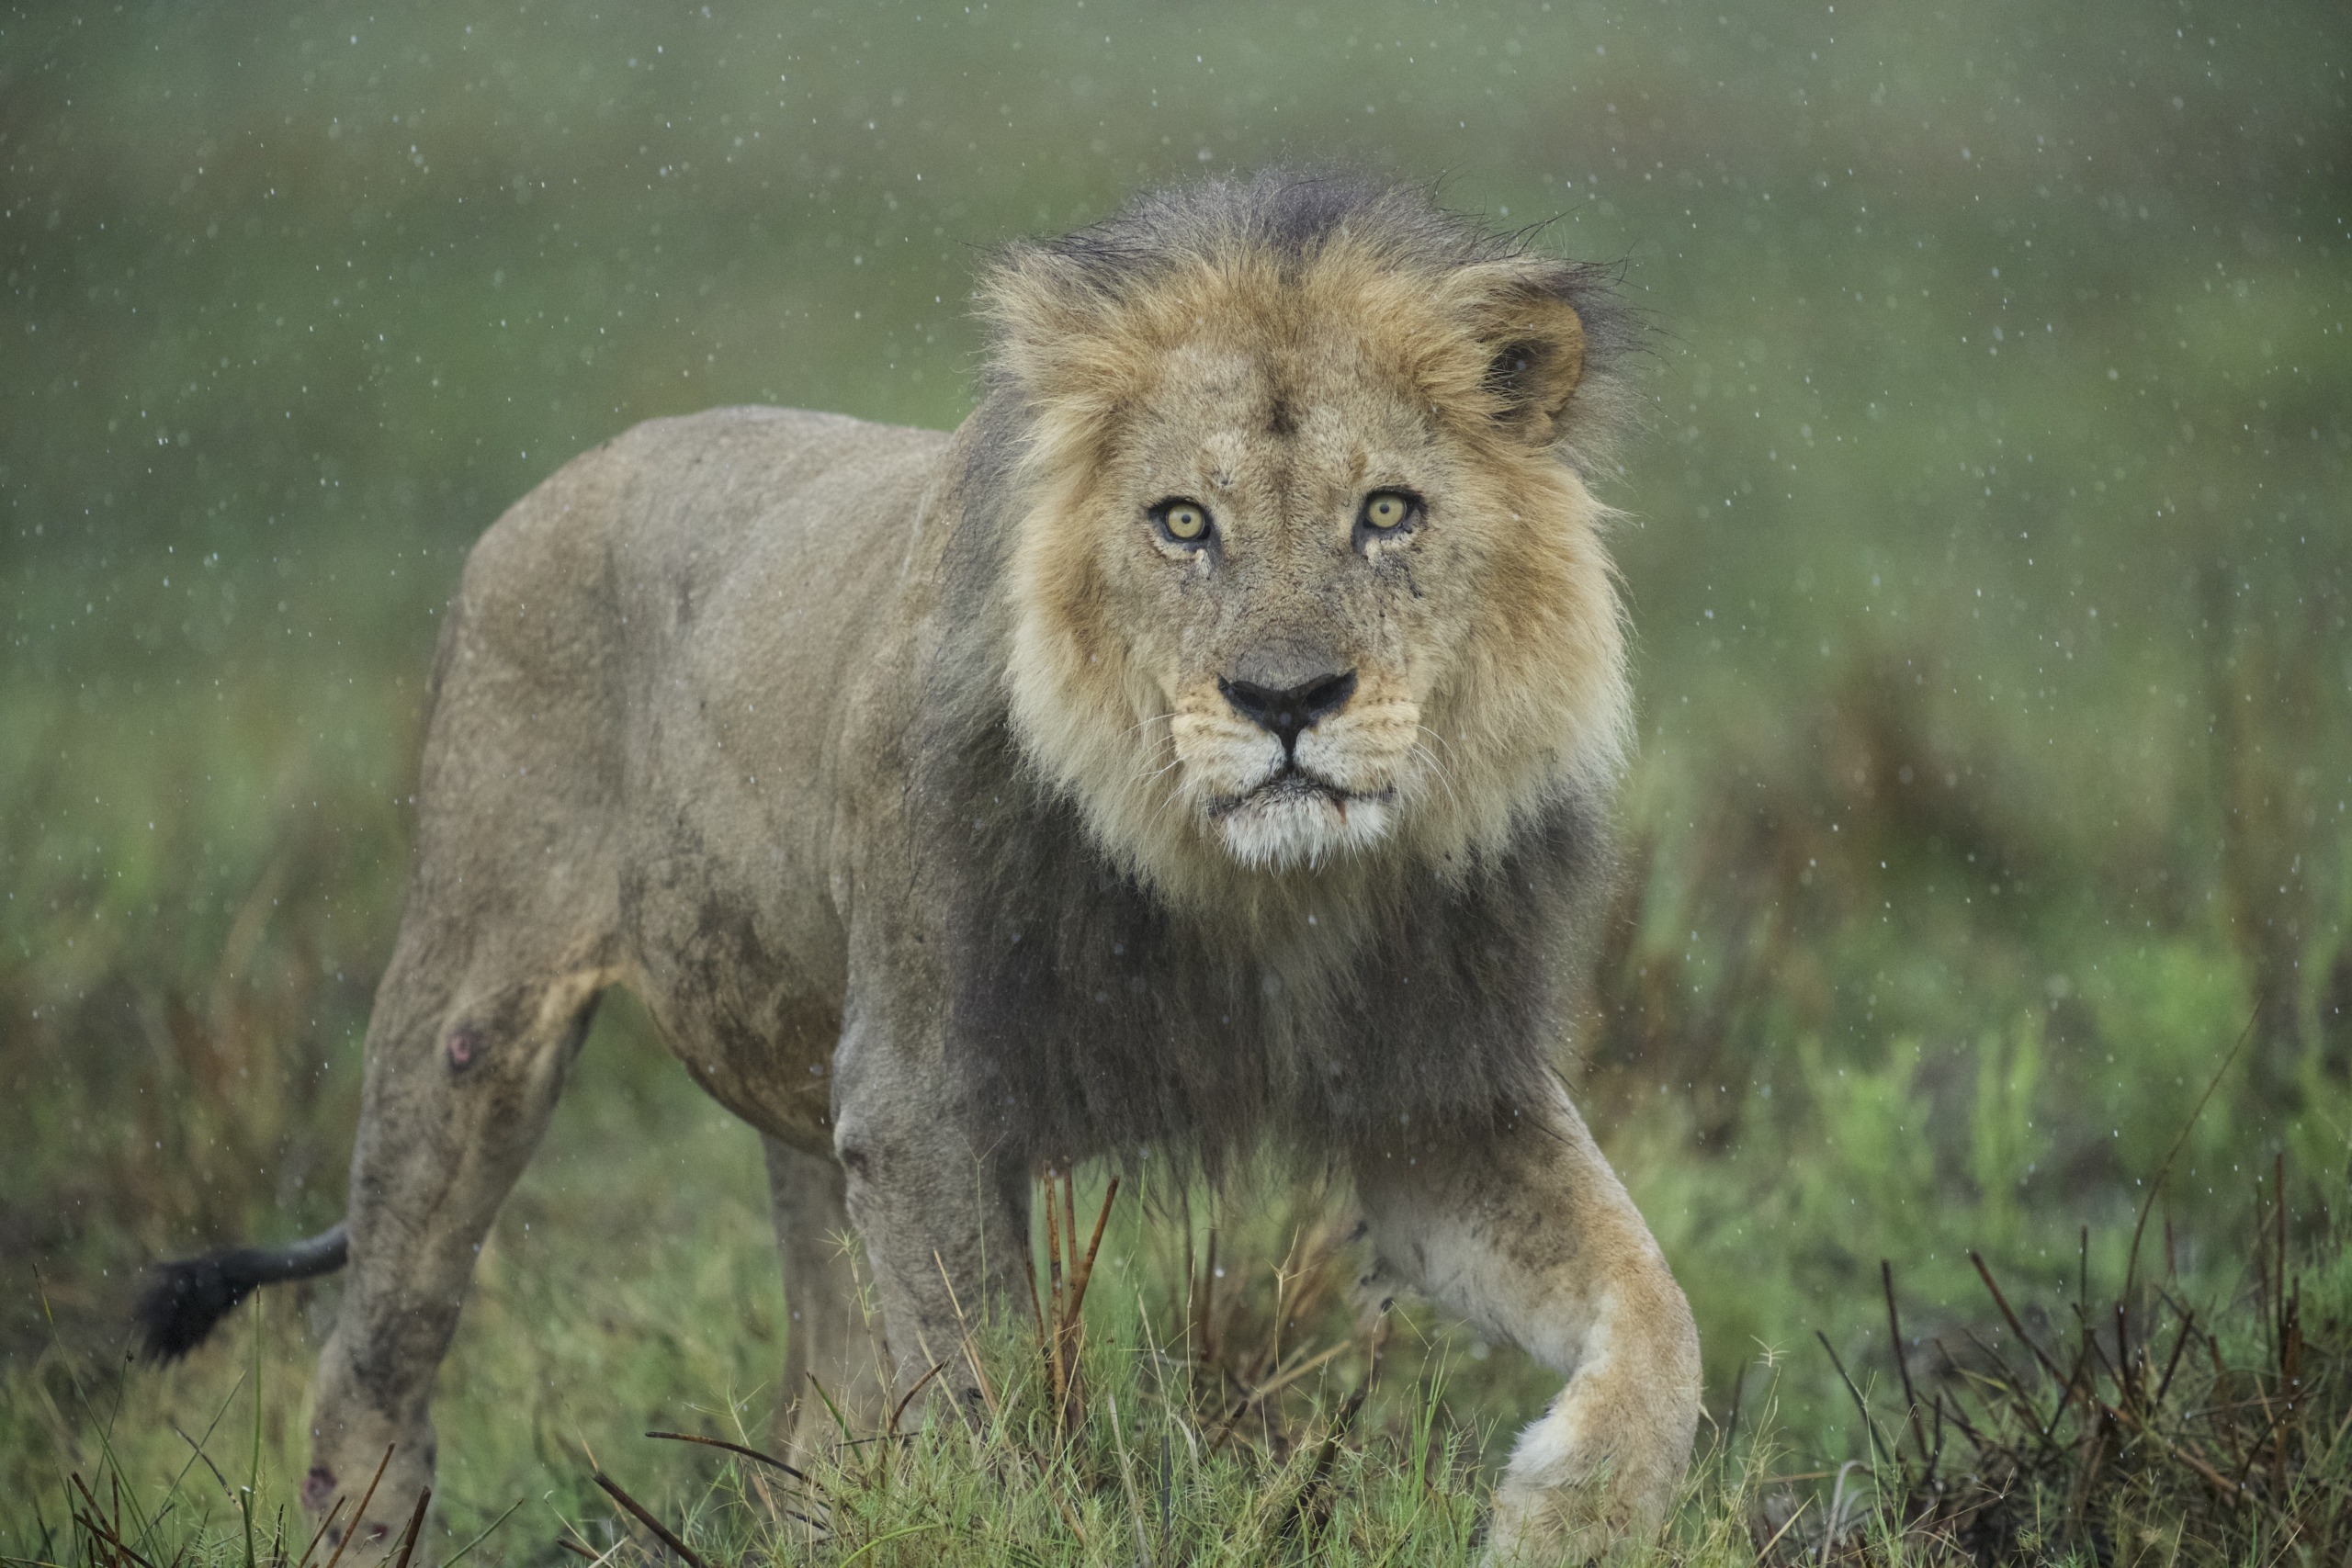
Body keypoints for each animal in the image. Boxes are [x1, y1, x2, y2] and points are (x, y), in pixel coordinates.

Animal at [137, 171, 1702, 1561]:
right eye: (1182, 523)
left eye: (1386, 512)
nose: (1286, 697)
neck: (1251, 890)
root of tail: (557, 484)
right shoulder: (923, 1097)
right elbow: (987, 1392)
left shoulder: (1426, 1089)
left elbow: (1655, 1299)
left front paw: (1568, 1514)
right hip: (471, 1017)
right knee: (369, 1364)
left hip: (799, 1097)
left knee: (817, 1411)